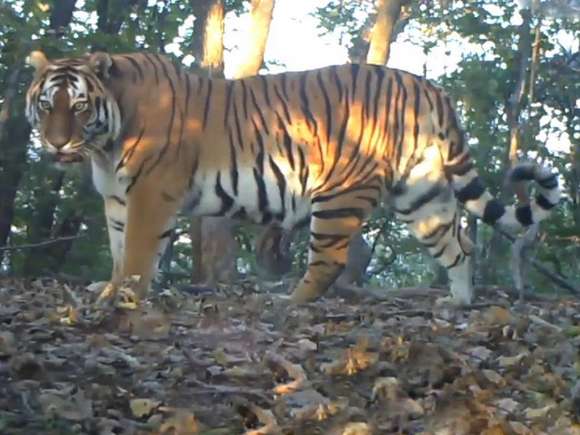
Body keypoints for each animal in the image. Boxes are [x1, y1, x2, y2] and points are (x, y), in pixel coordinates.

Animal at [24, 49, 560, 304]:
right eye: (47, 105)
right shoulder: (118, 198)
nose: (56, 143)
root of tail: (429, 87)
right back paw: (459, 305)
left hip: (340, 191)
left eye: (79, 106)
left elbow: (136, 252)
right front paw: (110, 290)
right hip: (419, 190)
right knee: (458, 243)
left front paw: (126, 297)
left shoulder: (150, 193)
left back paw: (288, 302)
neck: (103, 144)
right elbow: (119, 250)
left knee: (328, 261)